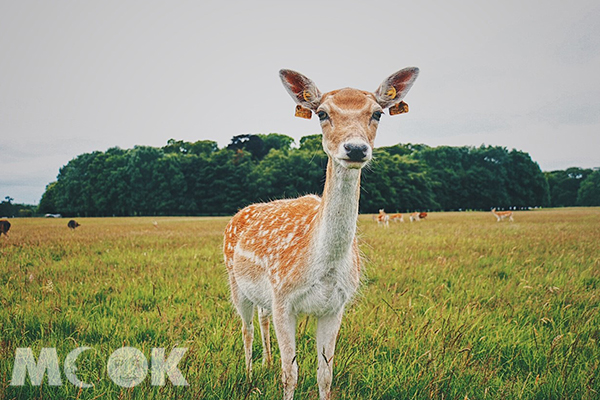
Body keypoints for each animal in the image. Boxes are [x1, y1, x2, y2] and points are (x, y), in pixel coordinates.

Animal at [221, 66, 418, 400]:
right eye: (322, 113)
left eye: (378, 113)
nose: (355, 148)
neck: (323, 267)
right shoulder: (283, 297)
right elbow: (290, 374)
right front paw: (278, 377)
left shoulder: (335, 306)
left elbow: (325, 374)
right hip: (236, 283)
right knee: (246, 329)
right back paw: (248, 375)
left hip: (263, 296)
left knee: (261, 319)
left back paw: (266, 362)